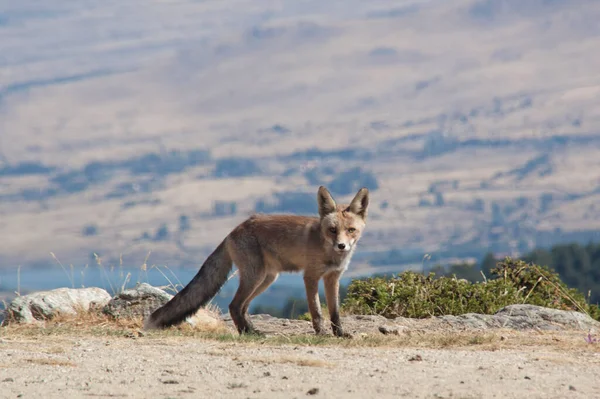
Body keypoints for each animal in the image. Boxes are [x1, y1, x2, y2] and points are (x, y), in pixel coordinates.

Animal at [145, 187, 370, 338]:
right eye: (332, 230)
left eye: (351, 230)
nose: (341, 246)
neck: (329, 253)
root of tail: (234, 230)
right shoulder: (310, 277)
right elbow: (316, 311)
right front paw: (321, 333)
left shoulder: (333, 278)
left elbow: (335, 312)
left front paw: (340, 334)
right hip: (255, 277)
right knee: (234, 305)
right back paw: (247, 333)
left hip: (266, 279)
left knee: (243, 307)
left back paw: (251, 330)